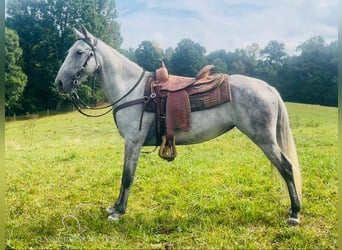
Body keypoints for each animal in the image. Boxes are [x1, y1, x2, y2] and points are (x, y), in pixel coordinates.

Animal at [55, 26, 302, 226]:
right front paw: (115, 207)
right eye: (68, 52)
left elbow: (127, 176)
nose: (59, 83)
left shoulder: (133, 142)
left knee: (287, 167)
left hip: (264, 139)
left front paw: (119, 212)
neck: (133, 91)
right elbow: (125, 176)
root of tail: (267, 87)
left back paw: (295, 213)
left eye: (79, 52)